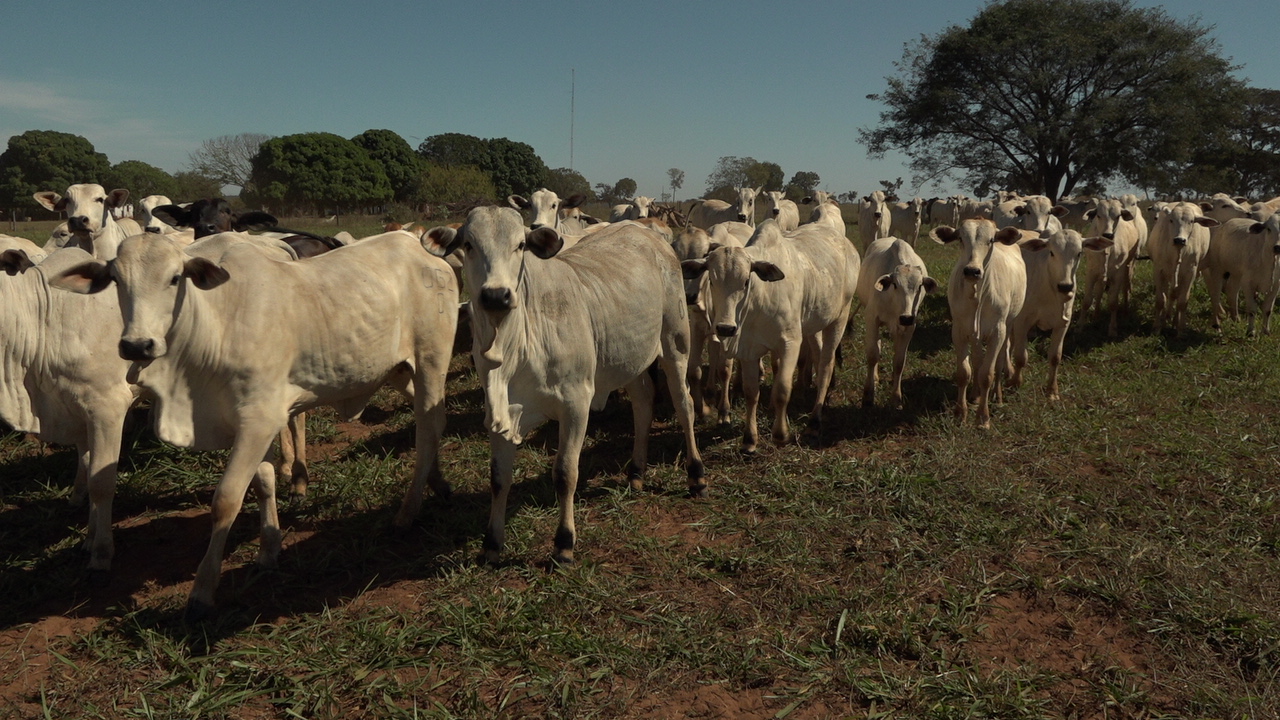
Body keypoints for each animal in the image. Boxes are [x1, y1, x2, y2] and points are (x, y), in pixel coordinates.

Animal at [49, 229, 460, 617]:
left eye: (175, 278)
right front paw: (269, 549)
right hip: (399, 370)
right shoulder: (246, 424)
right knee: (429, 420)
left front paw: (202, 591)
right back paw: (437, 482)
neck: (213, 328)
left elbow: (226, 500)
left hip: (432, 359)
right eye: (116, 279)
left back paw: (408, 511)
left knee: (429, 424)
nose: (137, 345)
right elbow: (263, 481)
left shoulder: (261, 419)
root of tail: (419, 245)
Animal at [422, 207, 706, 566]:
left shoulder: (576, 404)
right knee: (644, 403)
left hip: (675, 341)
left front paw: (564, 543)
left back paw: (696, 475)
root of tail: (649, 235)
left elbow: (565, 473)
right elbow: (498, 478)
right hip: (629, 358)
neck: (515, 347)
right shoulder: (498, 411)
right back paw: (636, 472)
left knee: (685, 405)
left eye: (520, 245)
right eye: (469, 245)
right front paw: (491, 543)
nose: (496, 295)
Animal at [931, 219, 1029, 425]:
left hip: (1008, 325)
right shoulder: (959, 331)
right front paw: (960, 412)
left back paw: (997, 396)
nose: (972, 270)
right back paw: (975, 395)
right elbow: (965, 372)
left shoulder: (997, 332)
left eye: (990, 240)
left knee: (999, 361)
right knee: (977, 361)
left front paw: (983, 418)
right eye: (961, 238)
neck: (977, 294)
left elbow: (987, 374)